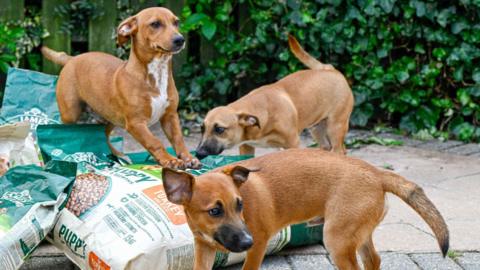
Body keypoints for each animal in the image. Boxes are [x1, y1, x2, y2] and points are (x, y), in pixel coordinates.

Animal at [40, 6, 200, 169]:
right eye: (155, 24)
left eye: (176, 22)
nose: (180, 40)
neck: (157, 74)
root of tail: (71, 59)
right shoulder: (136, 123)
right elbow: (155, 142)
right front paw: (170, 160)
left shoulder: (170, 116)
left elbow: (178, 139)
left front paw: (187, 158)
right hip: (70, 113)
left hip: (110, 118)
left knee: (104, 136)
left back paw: (119, 155)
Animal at [162, 148, 450, 270]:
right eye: (214, 211)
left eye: (239, 204)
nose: (246, 241)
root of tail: (377, 173)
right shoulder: (203, 248)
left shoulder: (258, 247)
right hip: (358, 234)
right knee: (374, 260)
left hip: (337, 240)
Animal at [194, 35, 352, 158]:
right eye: (202, 128)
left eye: (220, 129)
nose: (199, 153)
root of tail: (331, 69)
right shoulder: (246, 146)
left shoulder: (293, 143)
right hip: (318, 129)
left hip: (335, 127)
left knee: (338, 150)